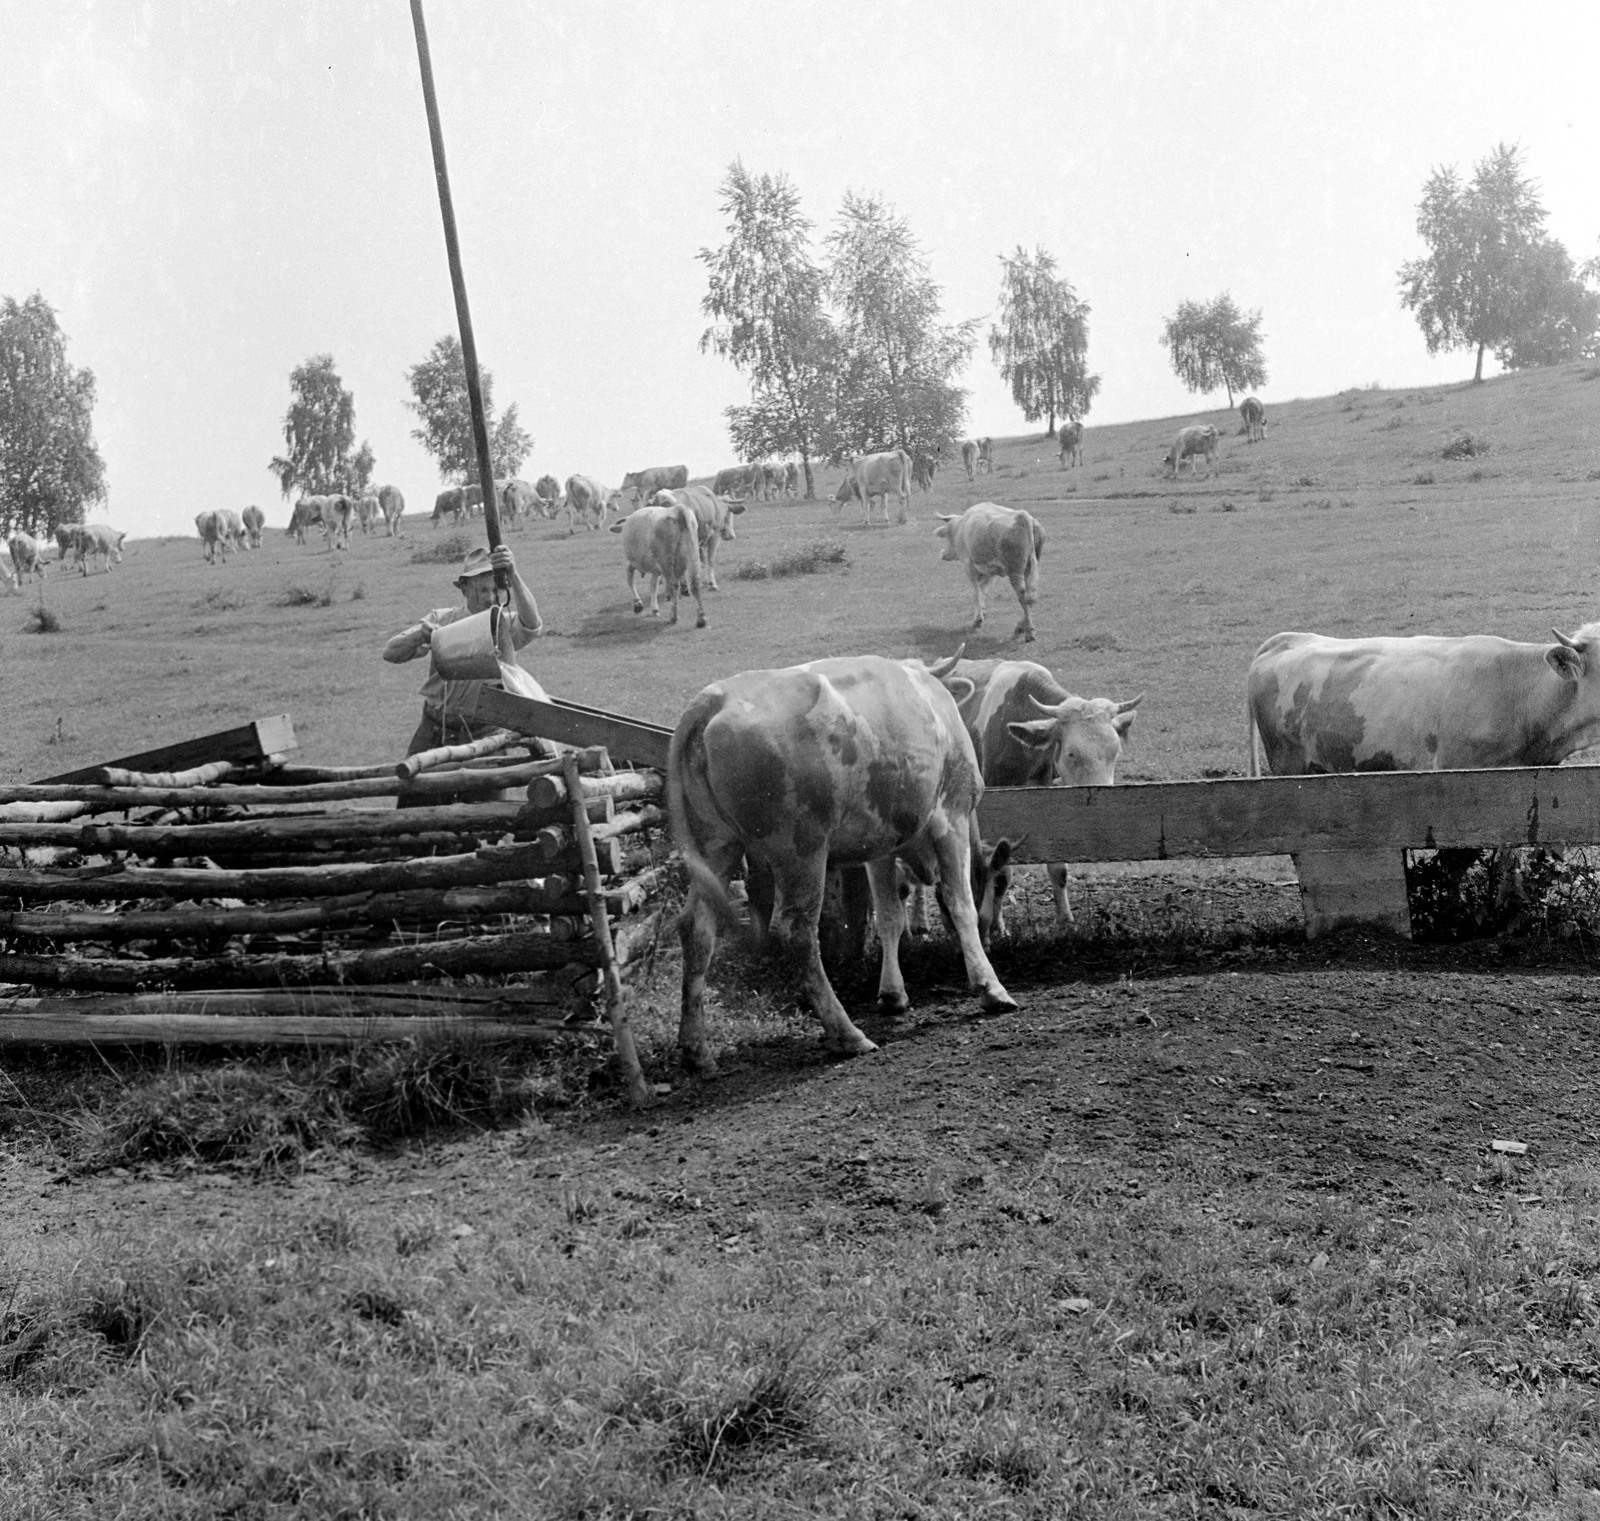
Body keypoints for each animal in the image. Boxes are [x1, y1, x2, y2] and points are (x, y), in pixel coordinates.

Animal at [610, 498, 705, 627]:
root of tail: (677, 510)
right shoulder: (657, 569)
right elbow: (653, 585)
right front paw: (654, 608)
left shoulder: (634, 562)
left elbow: (630, 579)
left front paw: (638, 604)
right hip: (693, 554)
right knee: (695, 582)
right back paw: (701, 619)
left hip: (666, 560)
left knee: (673, 585)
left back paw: (673, 617)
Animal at [668, 654, 1018, 1074]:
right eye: (999, 885)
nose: (996, 936)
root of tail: (715, 698)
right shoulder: (952, 816)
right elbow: (961, 903)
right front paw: (989, 986)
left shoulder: (882, 846)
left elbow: (890, 916)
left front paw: (892, 994)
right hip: (801, 851)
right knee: (796, 931)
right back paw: (846, 1033)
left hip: (716, 847)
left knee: (697, 929)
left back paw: (696, 1048)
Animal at [934, 501, 1045, 643]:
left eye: (948, 533)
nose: (943, 554)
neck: (961, 527)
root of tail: (1021, 515)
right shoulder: (990, 572)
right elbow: (983, 590)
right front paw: (982, 612)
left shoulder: (969, 566)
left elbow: (976, 591)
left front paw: (978, 620)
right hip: (1029, 568)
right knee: (1031, 597)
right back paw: (1020, 627)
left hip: (1015, 572)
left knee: (1024, 597)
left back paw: (1029, 632)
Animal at [934, 654, 1141, 929]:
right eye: (1072, 753)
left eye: (1115, 751)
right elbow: (1001, 872)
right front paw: (997, 925)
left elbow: (1058, 867)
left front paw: (1065, 918)